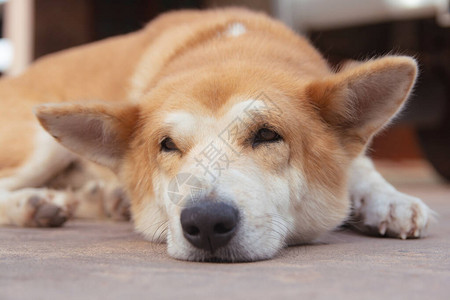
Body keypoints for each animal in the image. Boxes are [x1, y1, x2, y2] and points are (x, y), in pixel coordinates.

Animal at [0, 8, 436, 262]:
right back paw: (33, 204)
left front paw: (389, 201)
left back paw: (103, 198)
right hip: (39, 145)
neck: (230, 49)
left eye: (267, 135)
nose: (206, 223)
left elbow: (362, 167)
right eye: (167, 145)